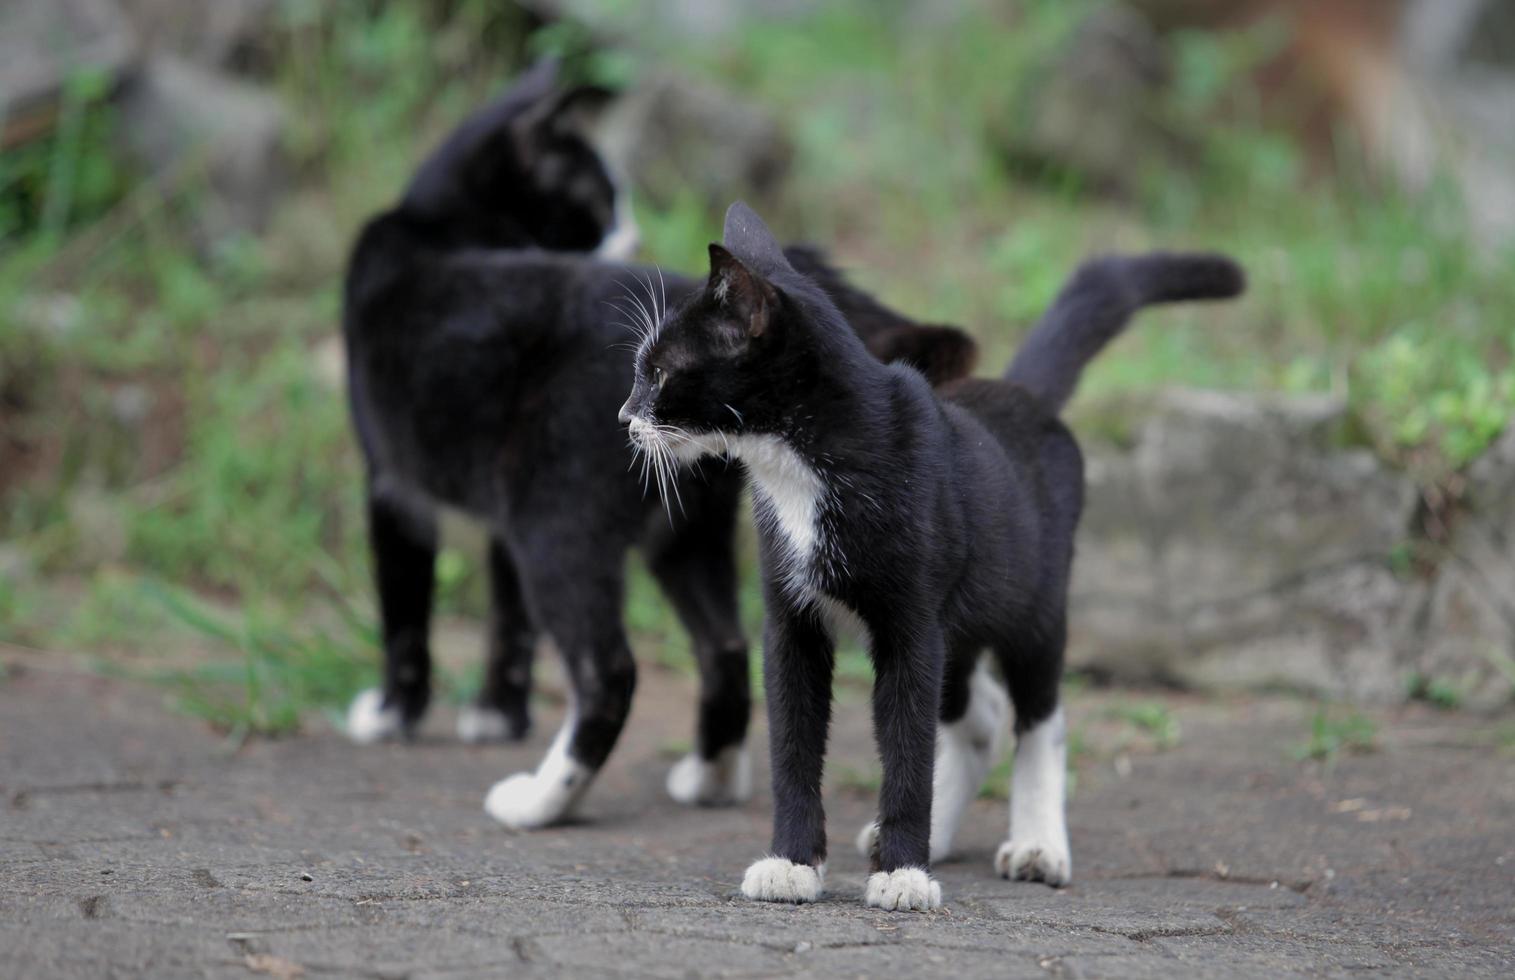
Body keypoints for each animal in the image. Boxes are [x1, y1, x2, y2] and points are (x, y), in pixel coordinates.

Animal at [337, 61, 975, 830]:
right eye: (599, 200)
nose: (630, 235)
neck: (441, 225)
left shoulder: (392, 484)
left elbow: (404, 609)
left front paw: (391, 713)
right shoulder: (492, 509)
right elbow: (507, 617)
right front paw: (497, 713)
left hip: (557, 519)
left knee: (607, 669)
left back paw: (541, 799)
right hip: (684, 523)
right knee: (725, 644)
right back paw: (710, 776)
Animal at [621, 204, 1248, 914]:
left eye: (660, 373)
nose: (625, 417)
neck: (807, 467)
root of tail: (1019, 393)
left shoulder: (913, 624)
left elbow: (907, 750)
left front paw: (903, 874)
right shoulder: (792, 622)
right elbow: (794, 745)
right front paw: (793, 863)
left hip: (1034, 601)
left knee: (1038, 715)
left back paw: (1038, 844)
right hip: (964, 622)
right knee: (978, 718)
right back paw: (936, 833)